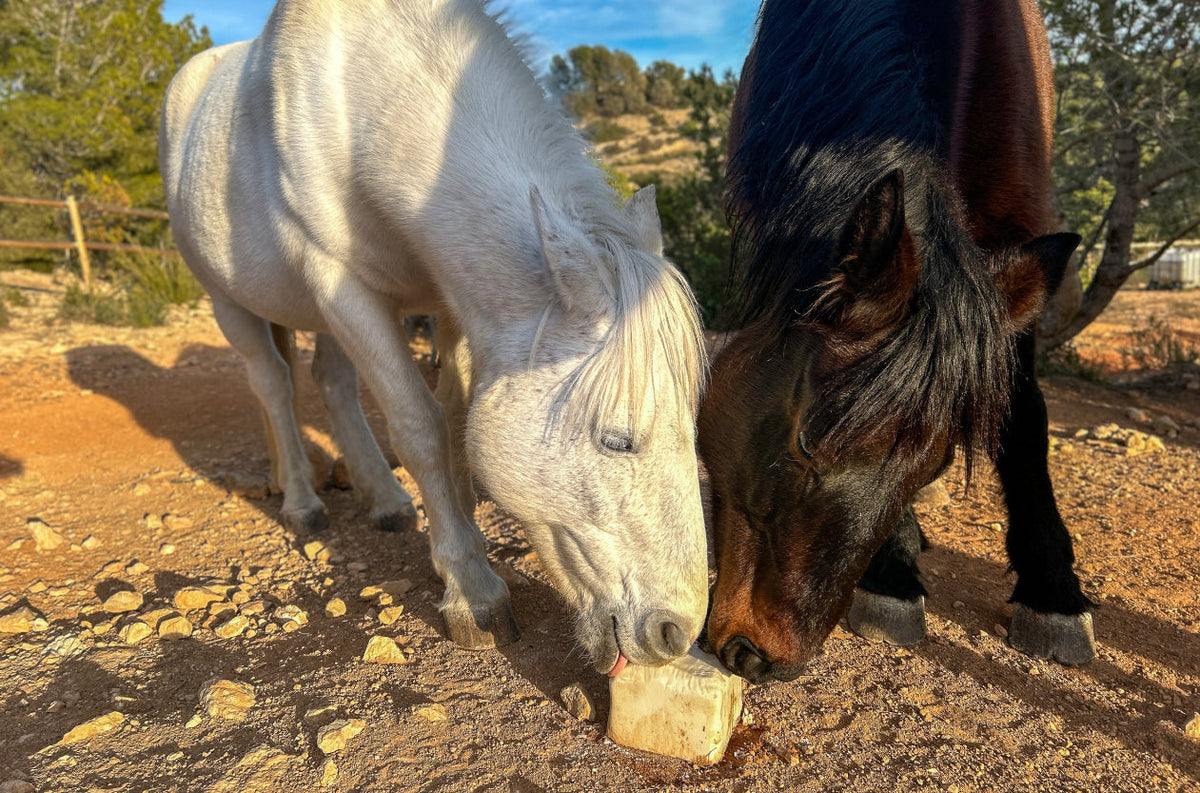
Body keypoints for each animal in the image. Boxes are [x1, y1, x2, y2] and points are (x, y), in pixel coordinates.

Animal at [158, 0, 709, 673]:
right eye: (617, 440)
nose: (676, 632)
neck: (360, 104)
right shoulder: (344, 287)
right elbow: (422, 428)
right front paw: (471, 589)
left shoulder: (451, 300)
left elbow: (457, 419)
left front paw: (462, 540)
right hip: (230, 302)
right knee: (274, 385)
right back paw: (300, 500)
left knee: (332, 384)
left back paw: (386, 501)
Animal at [700, 0, 1090, 683]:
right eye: (806, 442)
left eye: (936, 464)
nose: (759, 655)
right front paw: (893, 574)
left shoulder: (1017, 227)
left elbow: (1024, 414)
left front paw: (1052, 592)